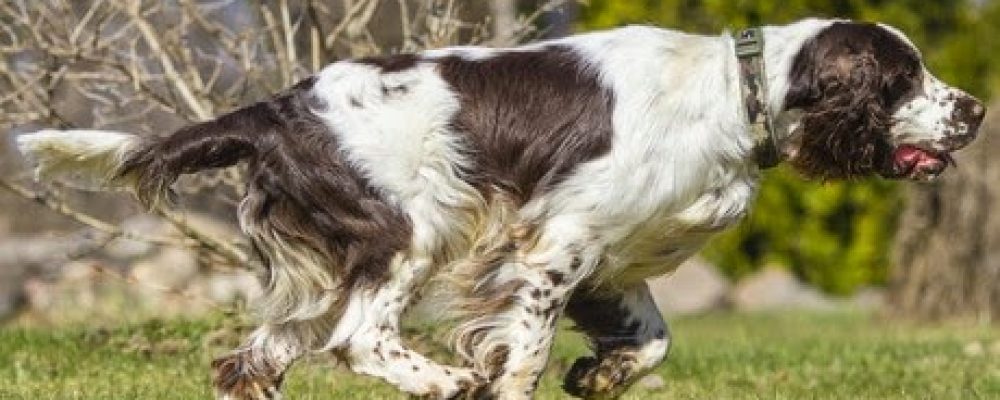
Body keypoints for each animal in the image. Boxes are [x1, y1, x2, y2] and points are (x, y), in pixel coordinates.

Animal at [17, 18, 984, 399]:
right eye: (902, 79)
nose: (976, 109)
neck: (730, 93)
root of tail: (278, 107)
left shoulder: (612, 259)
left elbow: (655, 340)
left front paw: (600, 375)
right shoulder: (554, 243)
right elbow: (521, 354)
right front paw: (507, 379)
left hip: (327, 264)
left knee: (255, 354)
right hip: (408, 231)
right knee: (359, 337)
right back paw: (444, 381)